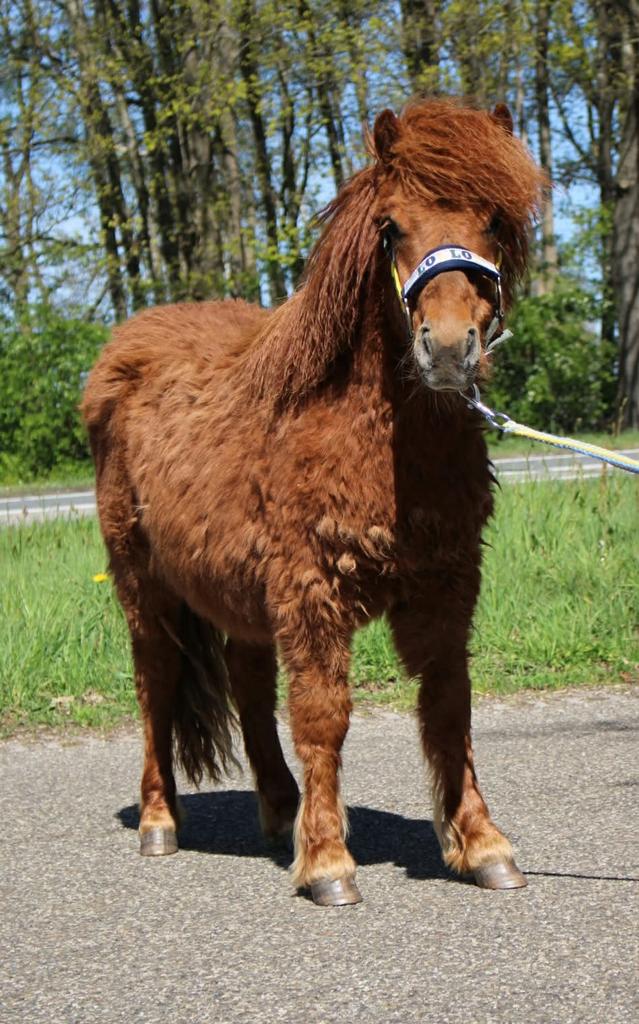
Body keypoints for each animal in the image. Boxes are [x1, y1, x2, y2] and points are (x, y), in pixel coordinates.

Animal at [82, 97, 545, 907]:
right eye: (391, 227)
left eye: (493, 220)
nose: (447, 347)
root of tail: (123, 353)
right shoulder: (311, 590)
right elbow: (324, 715)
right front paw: (328, 861)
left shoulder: (446, 586)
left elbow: (448, 708)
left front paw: (482, 844)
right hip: (145, 588)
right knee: (155, 686)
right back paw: (161, 822)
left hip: (237, 593)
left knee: (246, 685)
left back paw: (279, 811)